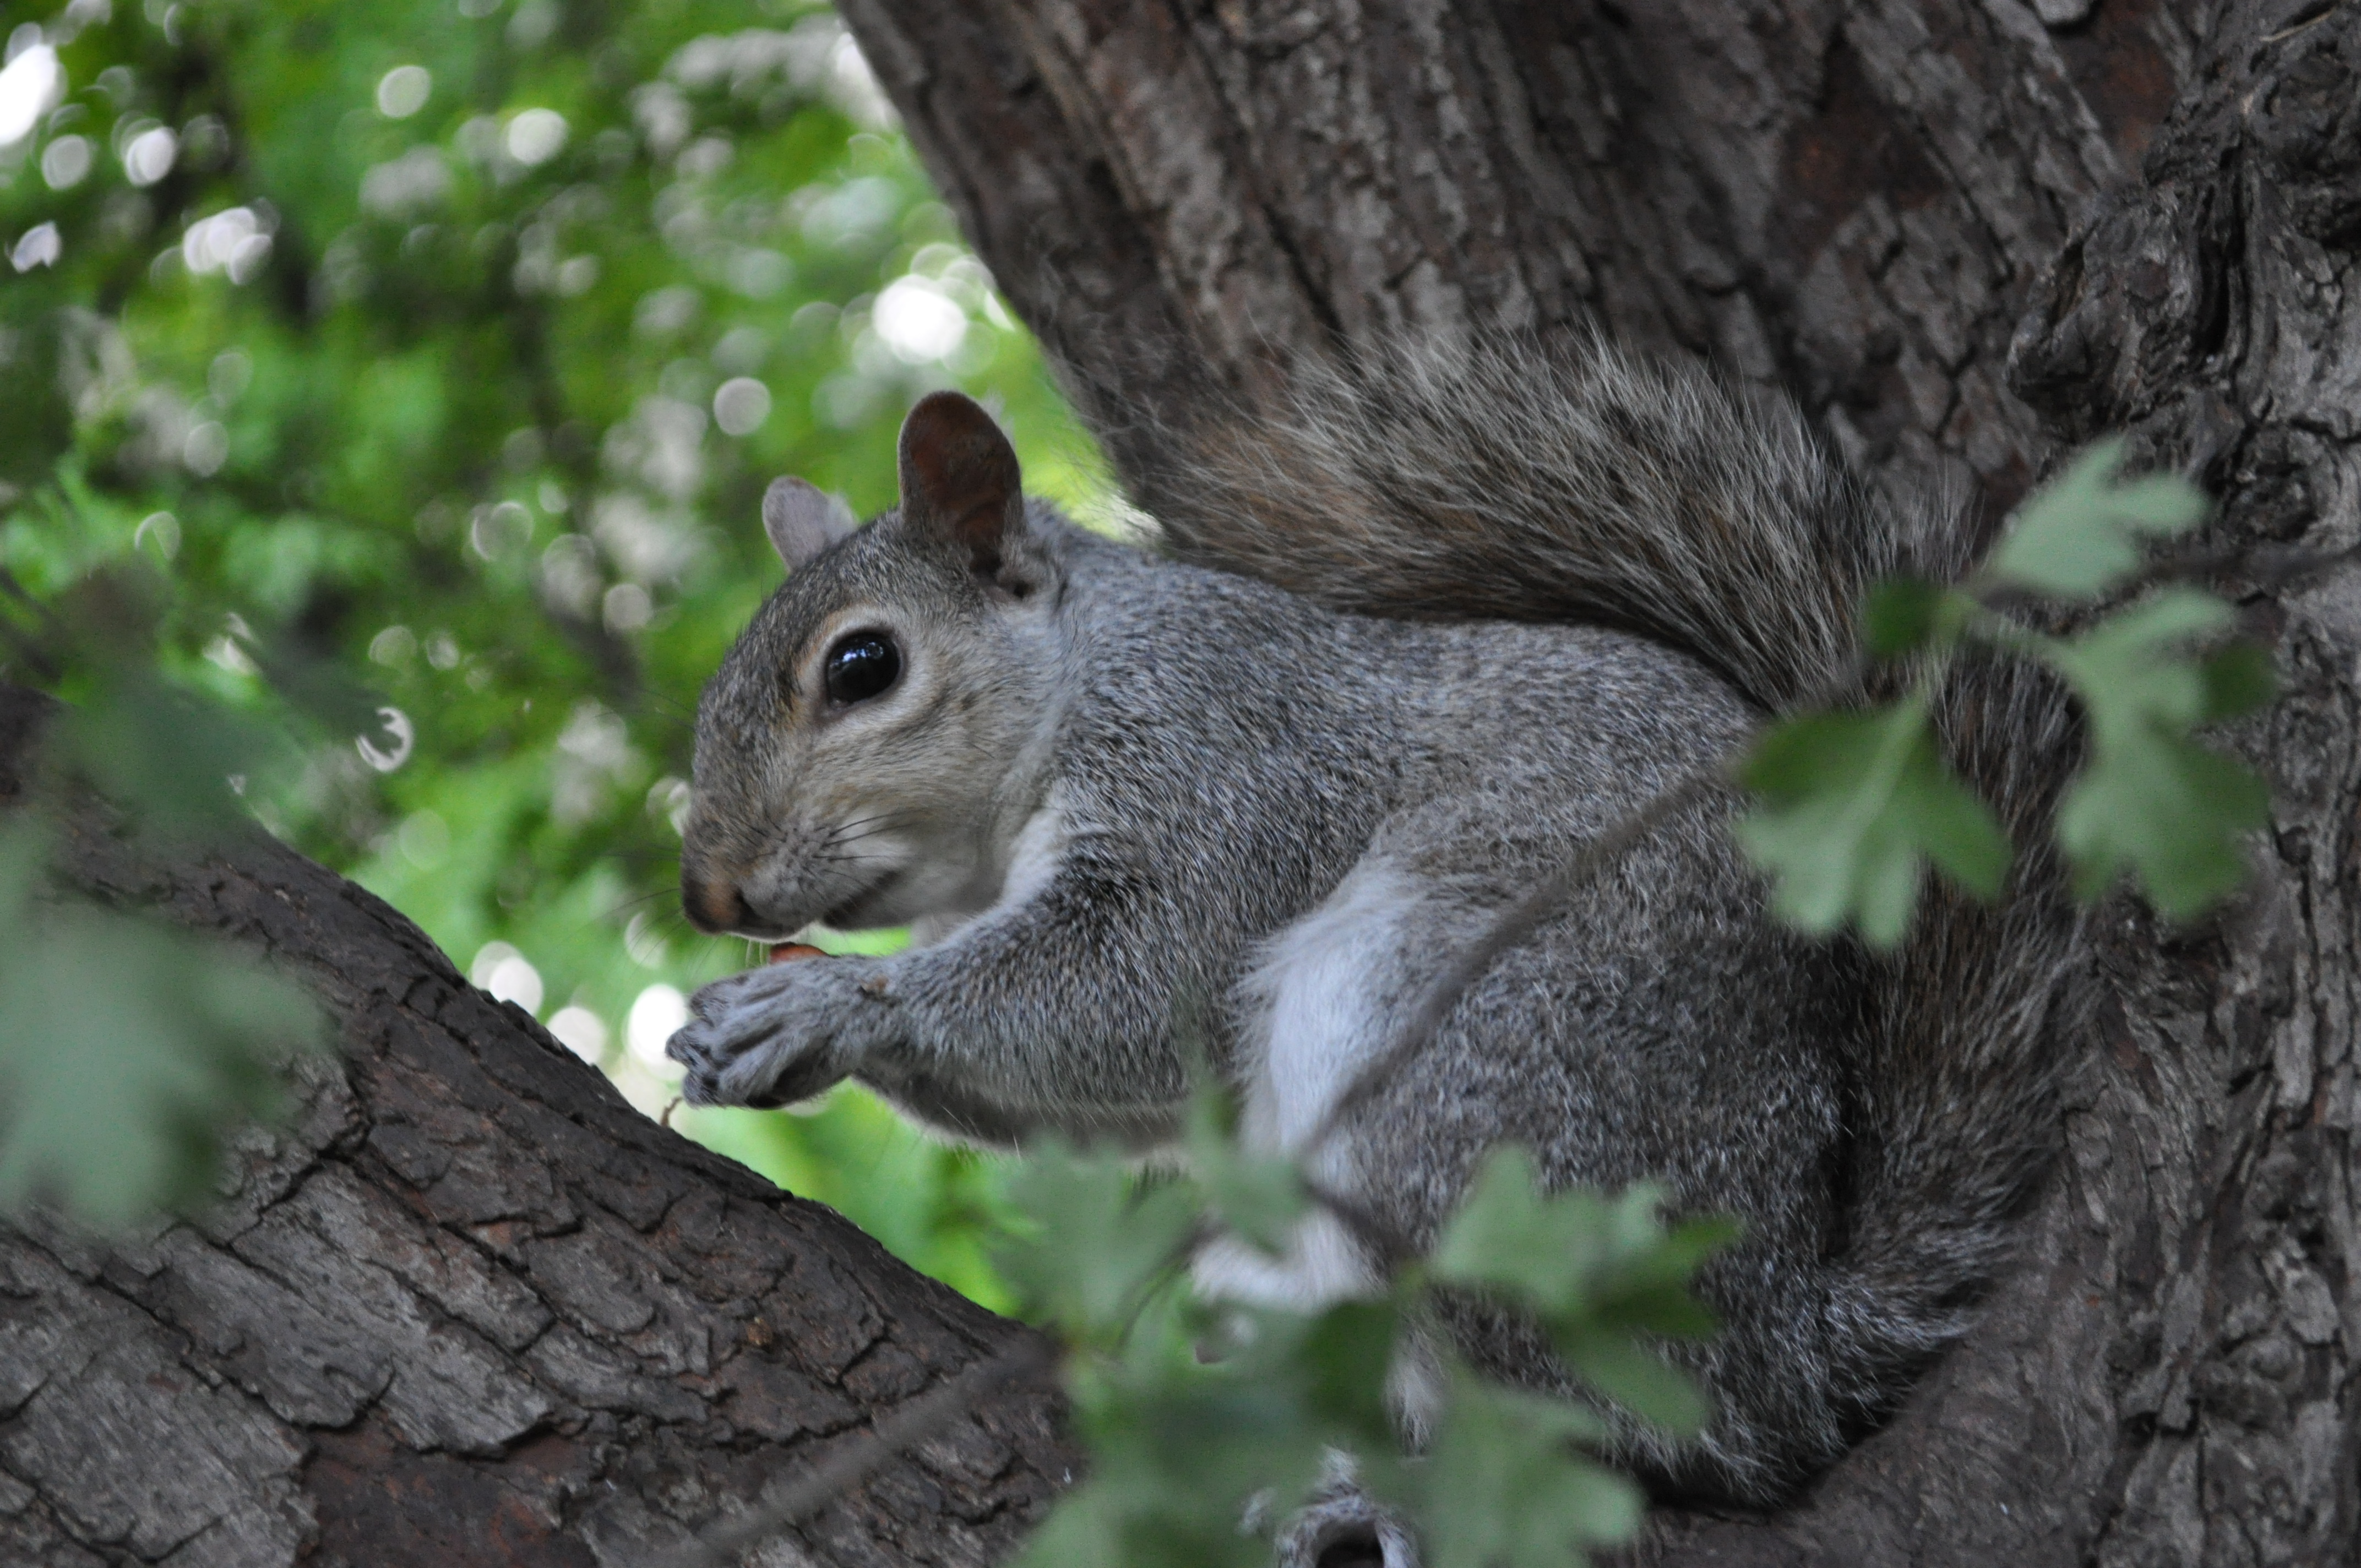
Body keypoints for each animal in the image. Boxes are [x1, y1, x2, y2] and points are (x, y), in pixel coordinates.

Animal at [666, 335, 2084, 1510]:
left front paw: (819, 1004)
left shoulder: (1222, 764)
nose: (707, 895)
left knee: (1590, 1427)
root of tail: (1784, 1341)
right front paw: (735, 1037)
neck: (1076, 677)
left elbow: (1134, 987)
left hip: (1454, 1065)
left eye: (863, 666)